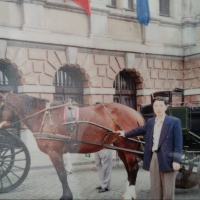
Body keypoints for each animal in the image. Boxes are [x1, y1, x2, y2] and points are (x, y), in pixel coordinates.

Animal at [0, 92, 145, 200]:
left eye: (1, 106)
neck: (44, 116)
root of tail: (135, 112)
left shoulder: (54, 152)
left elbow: (62, 174)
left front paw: (66, 196)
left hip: (128, 147)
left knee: (133, 168)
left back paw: (129, 195)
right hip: (121, 148)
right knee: (129, 169)